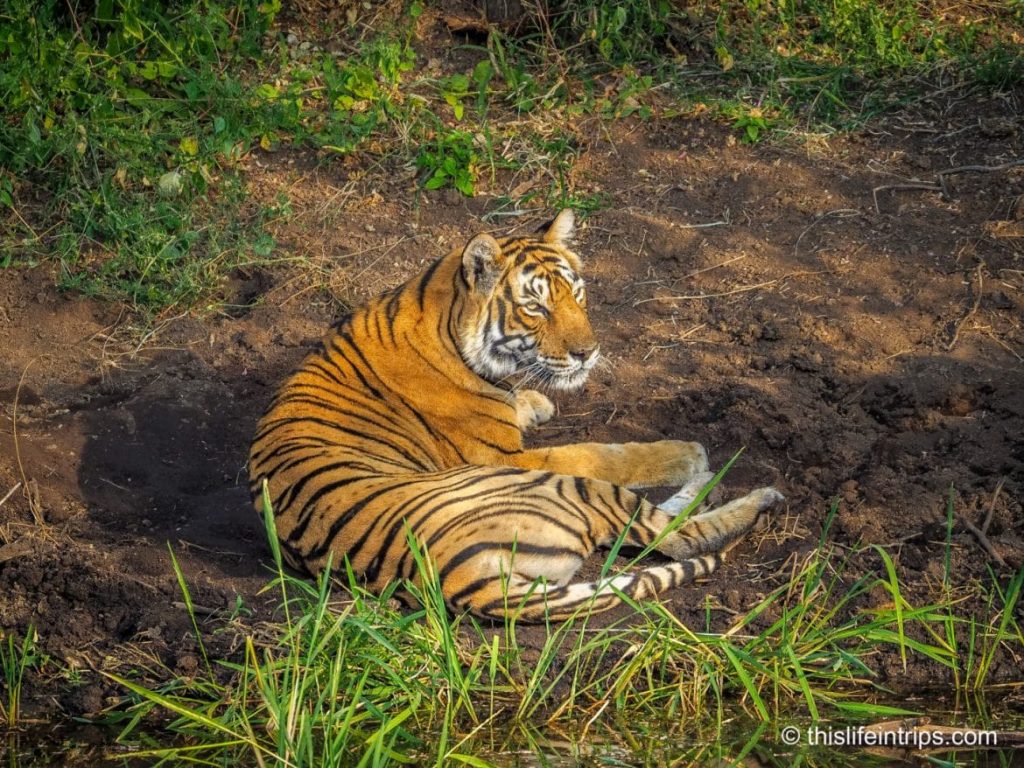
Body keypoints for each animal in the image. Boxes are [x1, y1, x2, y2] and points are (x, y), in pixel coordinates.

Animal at [248, 210, 784, 622]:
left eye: (577, 294)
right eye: (536, 308)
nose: (589, 353)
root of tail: (454, 578)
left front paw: (535, 402)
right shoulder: (514, 456)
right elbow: (603, 453)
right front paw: (686, 453)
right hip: (559, 488)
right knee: (678, 535)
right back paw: (741, 487)